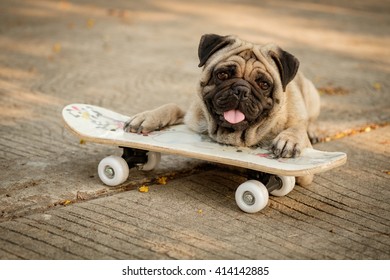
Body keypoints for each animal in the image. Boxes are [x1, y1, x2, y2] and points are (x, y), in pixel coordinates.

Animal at [125, 33, 320, 186]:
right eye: (222, 74)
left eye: (264, 84)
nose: (241, 90)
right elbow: (172, 106)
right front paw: (147, 117)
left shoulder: (305, 175)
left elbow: (298, 128)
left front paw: (289, 140)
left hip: (312, 95)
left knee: (309, 120)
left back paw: (312, 132)